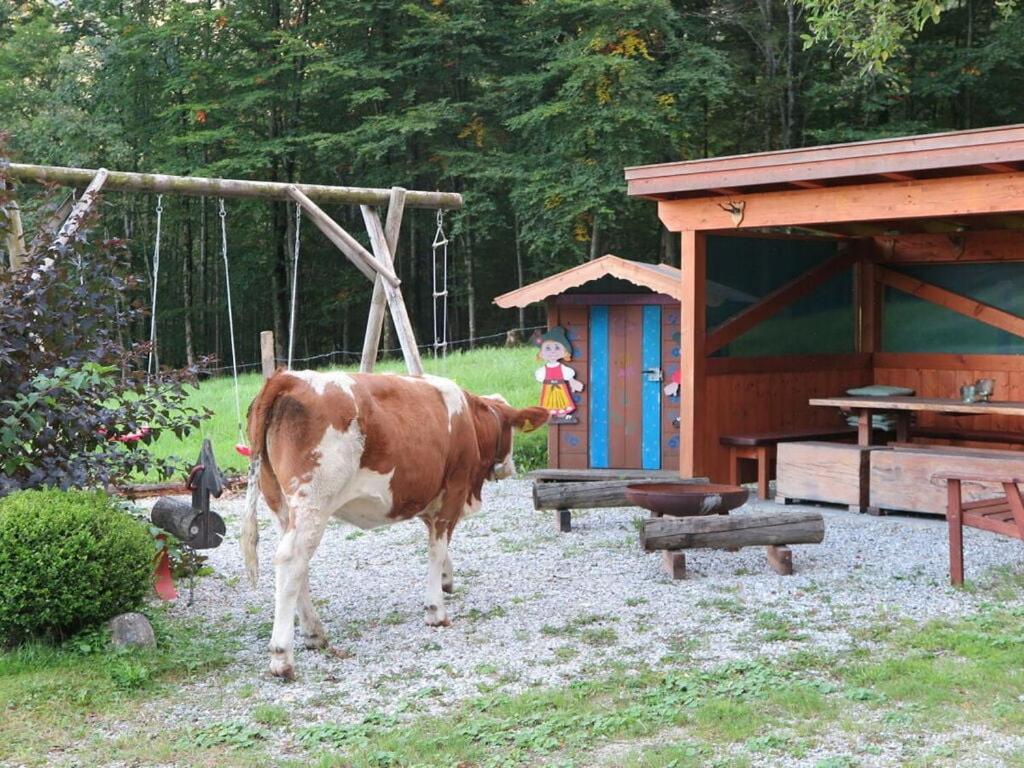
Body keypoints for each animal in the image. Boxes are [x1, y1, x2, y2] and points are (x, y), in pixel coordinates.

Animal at [239, 370, 548, 679]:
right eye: (511, 431)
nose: (510, 467)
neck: (469, 418)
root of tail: (288, 377)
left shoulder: (426, 498)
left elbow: (438, 544)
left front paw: (446, 579)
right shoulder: (454, 491)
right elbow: (437, 548)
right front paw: (435, 610)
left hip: (281, 505)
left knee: (297, 566)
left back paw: (314, 633)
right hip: (312, 501)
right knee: (291, 560)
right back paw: (282, 656)